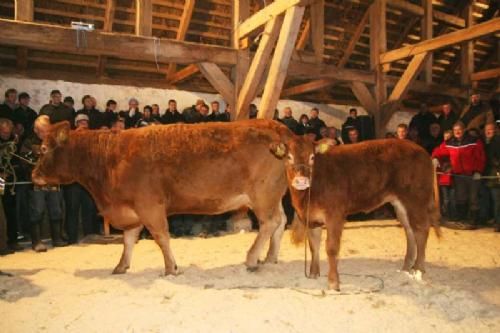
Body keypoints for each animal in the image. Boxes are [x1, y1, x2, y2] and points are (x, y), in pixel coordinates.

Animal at [32, 119, 292, 274]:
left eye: (43, 149)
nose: (33, 174)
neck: (110, 159)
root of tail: (272, 124)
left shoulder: (149, 206)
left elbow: (161, 237)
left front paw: (170, 267)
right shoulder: (133, 210)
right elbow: (128, 240)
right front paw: (121, 265)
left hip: (262, 195)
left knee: (269, 223)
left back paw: (252, 259)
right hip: (274, 195)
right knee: (281, 221)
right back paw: (270, 258)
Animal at [272, 136, 440, 290]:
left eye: (312, 157)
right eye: (289, 157)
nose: (301, 181)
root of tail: (423, 151)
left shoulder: (335, 215)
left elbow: (331, 248)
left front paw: (333, 282)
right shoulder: (312, 217)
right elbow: (314, 245)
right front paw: (313, 273)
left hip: (416, 200)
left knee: (421, 229)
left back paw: (418, 269)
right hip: (400, 203)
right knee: (409, 230)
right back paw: (406, 267)